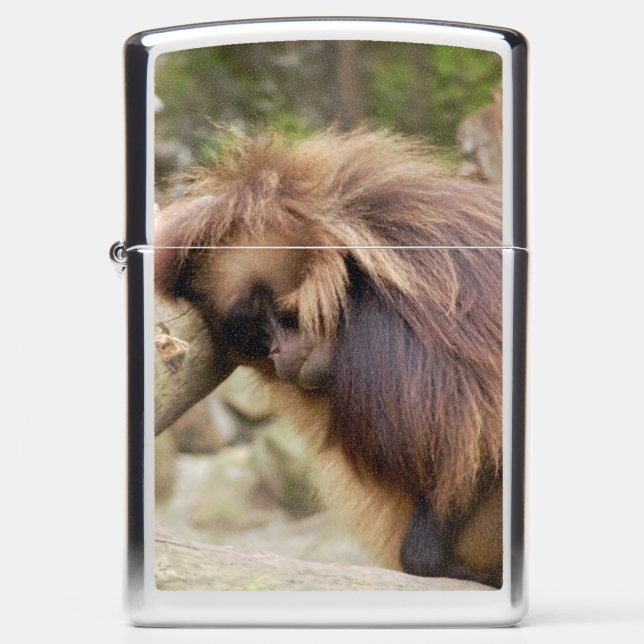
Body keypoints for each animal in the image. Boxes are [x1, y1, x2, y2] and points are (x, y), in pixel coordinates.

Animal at [155, 128, 504, 587]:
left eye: (280, 316)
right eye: (258, 332)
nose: (278, 351)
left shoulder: (382, 339)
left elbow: (482, 442)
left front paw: (436, 562)